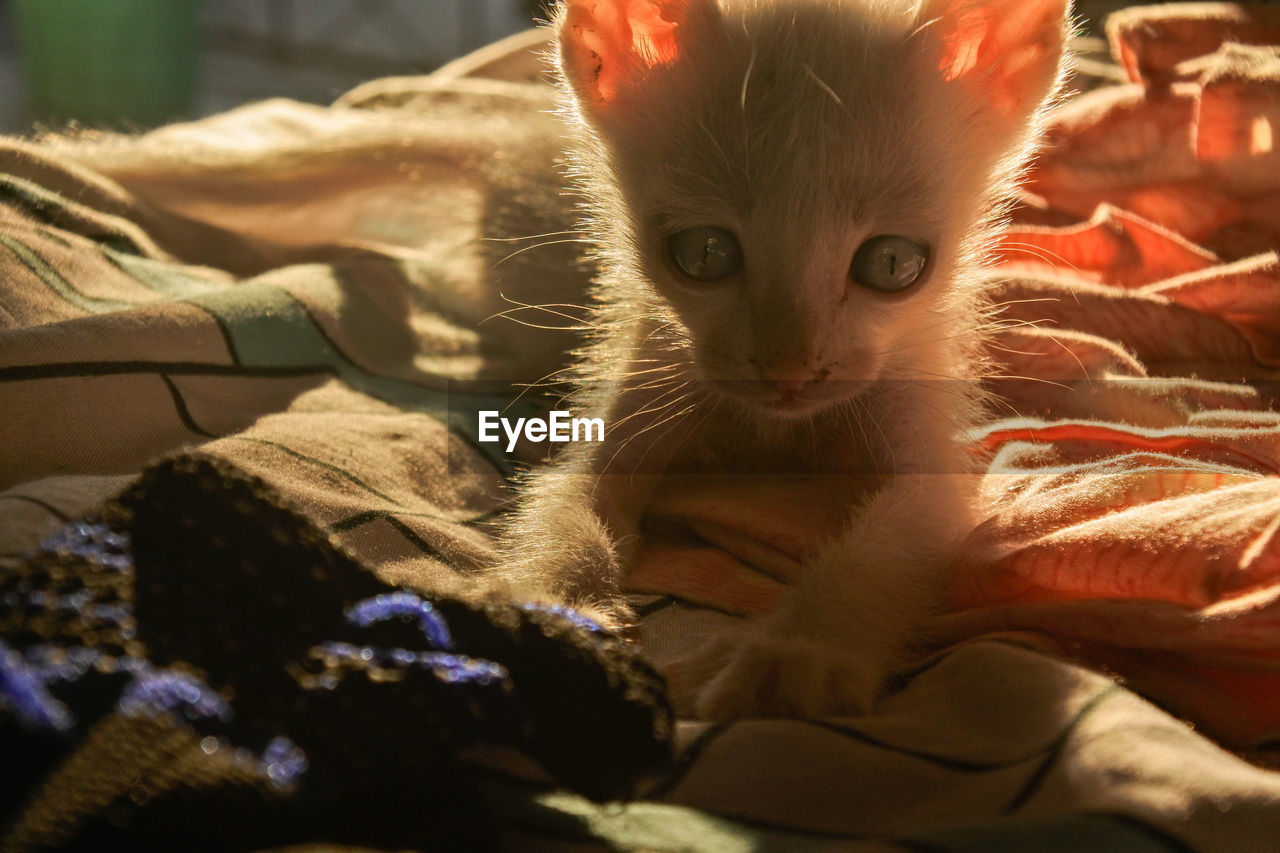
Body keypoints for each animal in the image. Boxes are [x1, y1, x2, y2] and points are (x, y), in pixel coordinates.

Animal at [494, 0, 1075, 717]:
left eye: (892, 263)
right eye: (705, 253)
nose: (789, 372)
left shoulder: (927, 432)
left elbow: (884, 547)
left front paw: (796, 654)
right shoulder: (645, 371)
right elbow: (566, 502)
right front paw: (559, 608)